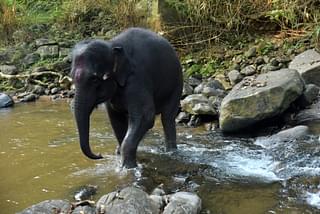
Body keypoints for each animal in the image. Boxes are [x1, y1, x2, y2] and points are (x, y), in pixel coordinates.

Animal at [71, 26, 184, 168]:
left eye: (94, 79)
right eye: (71, 77)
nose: (100, 155)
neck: (112, 45)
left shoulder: (138, 79)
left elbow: (146, 116)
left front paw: (128, 167)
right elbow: (116, 119)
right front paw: (120, 155)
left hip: (176, 84)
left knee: (167, 118)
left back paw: (171, 151)